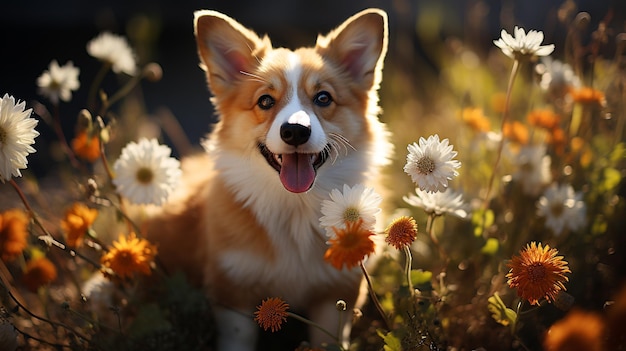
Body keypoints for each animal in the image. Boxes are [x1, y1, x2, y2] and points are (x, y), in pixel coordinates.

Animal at [146, 8, 390, 351]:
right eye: (265, 101)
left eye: (323, 98)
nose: (295, 131)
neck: (295, 208)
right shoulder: (232, 291)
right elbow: (238, 338)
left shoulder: (336, 294)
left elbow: (329, 339)